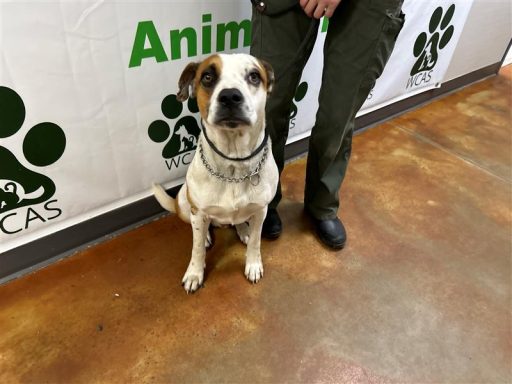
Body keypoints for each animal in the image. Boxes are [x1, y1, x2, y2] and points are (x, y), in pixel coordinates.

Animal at [152, 53, 278, 294]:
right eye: (207, 77)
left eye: (254, 76)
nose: (230, 96)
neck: (233, 164)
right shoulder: (198, 211)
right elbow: (196, 249)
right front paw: (194, 273)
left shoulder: (261, 211)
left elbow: (256, 241)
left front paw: (253, 264)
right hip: (186, 203)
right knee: (200, 227)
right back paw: (207, 236)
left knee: (239, 222)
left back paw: (243, 229)